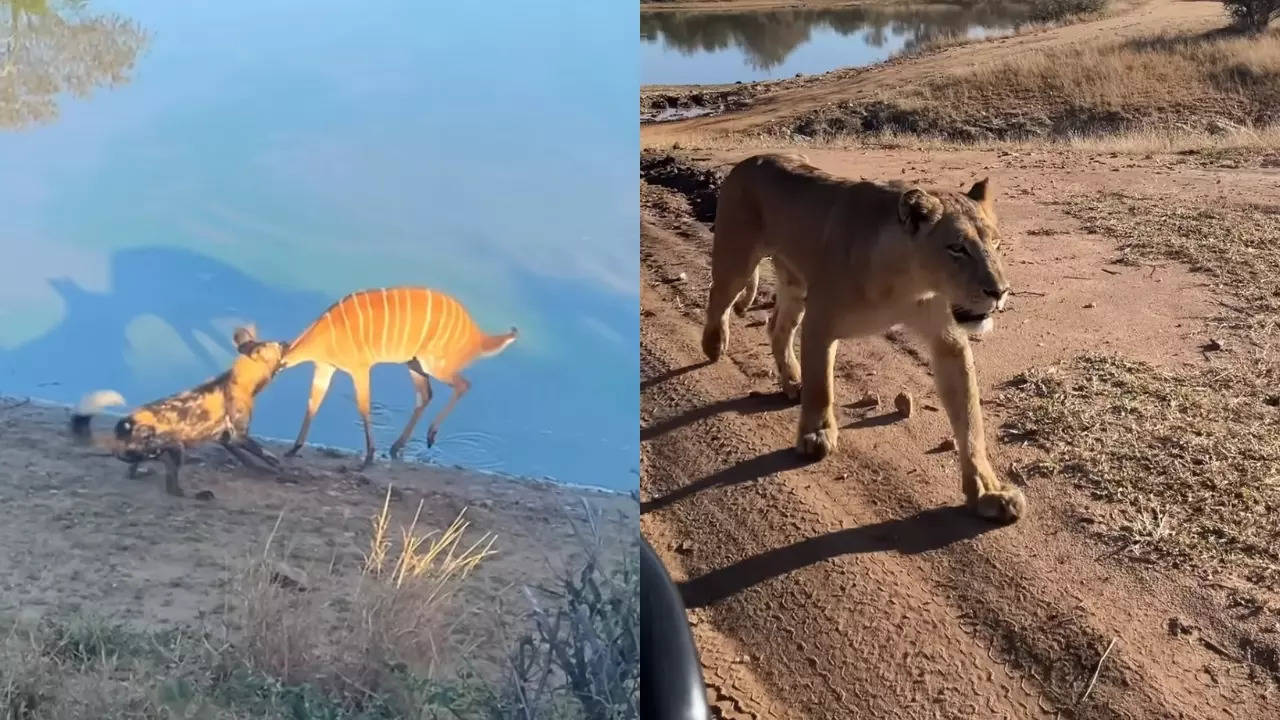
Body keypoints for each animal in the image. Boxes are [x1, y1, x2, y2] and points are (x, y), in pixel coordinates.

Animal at [70, 327, 288, 497]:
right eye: (278, 346)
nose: (285, 341)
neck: (242, 380)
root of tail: (126, 426)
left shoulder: (226, 439)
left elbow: (249, 459)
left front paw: (261, 470)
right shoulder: (239, 437)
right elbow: (268, 455)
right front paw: (282, 471)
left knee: (132, 470)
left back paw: (141, 474)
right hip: (175, 448)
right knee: (171, 484)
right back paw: (193, 494)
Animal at [281, 284, 519, 466]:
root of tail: (476, 336)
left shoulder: (359, 368)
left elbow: (363, 405)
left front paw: (369, 456)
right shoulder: (325, 367)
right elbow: (313, 403)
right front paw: (293, 449)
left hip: (434, 365)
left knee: (463, 385)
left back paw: (430, 435)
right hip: (414, 363)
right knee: (426, 395)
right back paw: (397, 447)